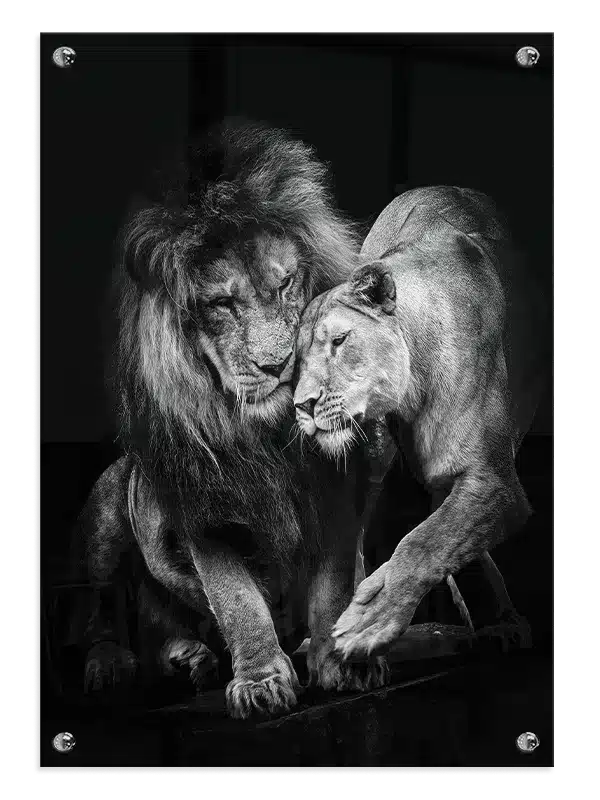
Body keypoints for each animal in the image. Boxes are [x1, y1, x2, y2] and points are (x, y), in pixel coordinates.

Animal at [76, 120, 388, 719]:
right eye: (221, 304)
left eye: (286, 285)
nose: (278, 363)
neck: (267, 432)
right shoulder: (203, 502)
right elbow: (236, 598)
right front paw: (262, 680)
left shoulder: (338, 488)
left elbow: (335, 585)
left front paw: (339, 659)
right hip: (105, 512)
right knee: (102, 608)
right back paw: (117, 663)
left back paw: (192, 656)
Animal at [293, 186, 549, 659]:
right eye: (298, 359)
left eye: (339, 340)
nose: (303, 404)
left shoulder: (495, 480)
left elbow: (426, 541)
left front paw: (370, 618)